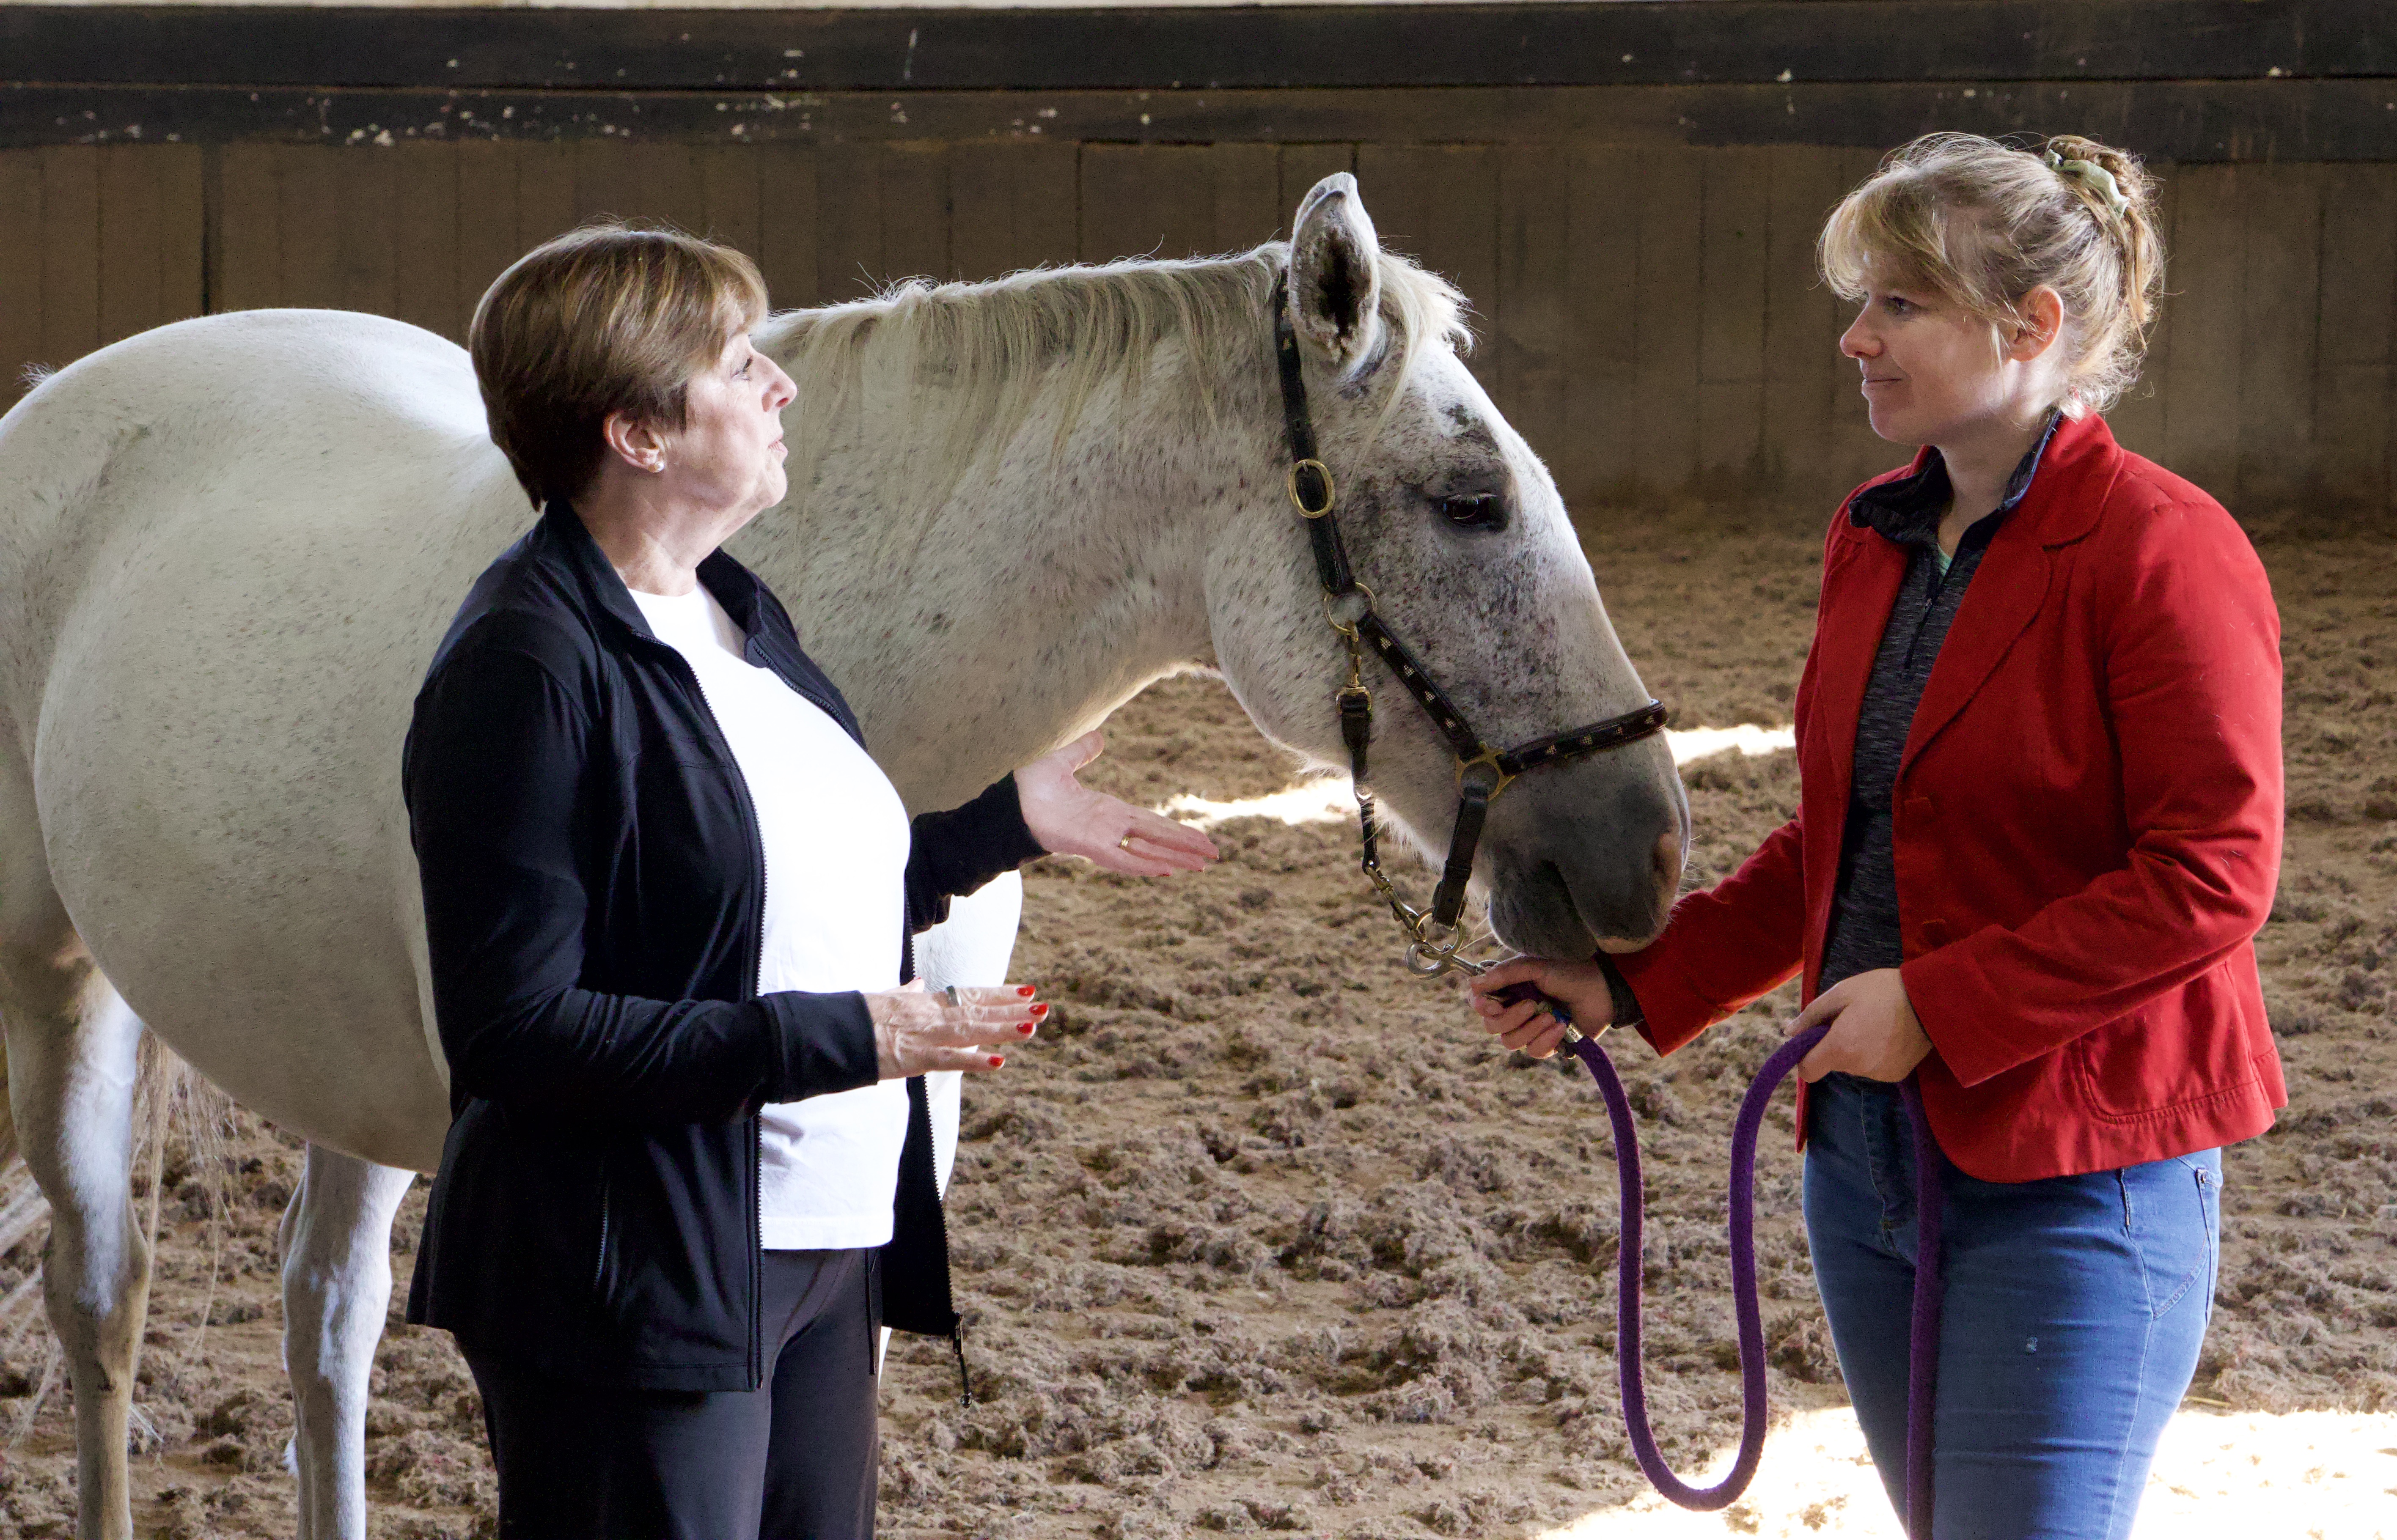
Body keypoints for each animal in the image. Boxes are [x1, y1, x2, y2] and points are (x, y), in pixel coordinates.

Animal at [0, 174, 1686, 1539]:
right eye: (1471, 503)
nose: (1651, 848)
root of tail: (68, 398)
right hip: (54, 984)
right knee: (101, 1302)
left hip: (337, 1064)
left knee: (322, 1320)